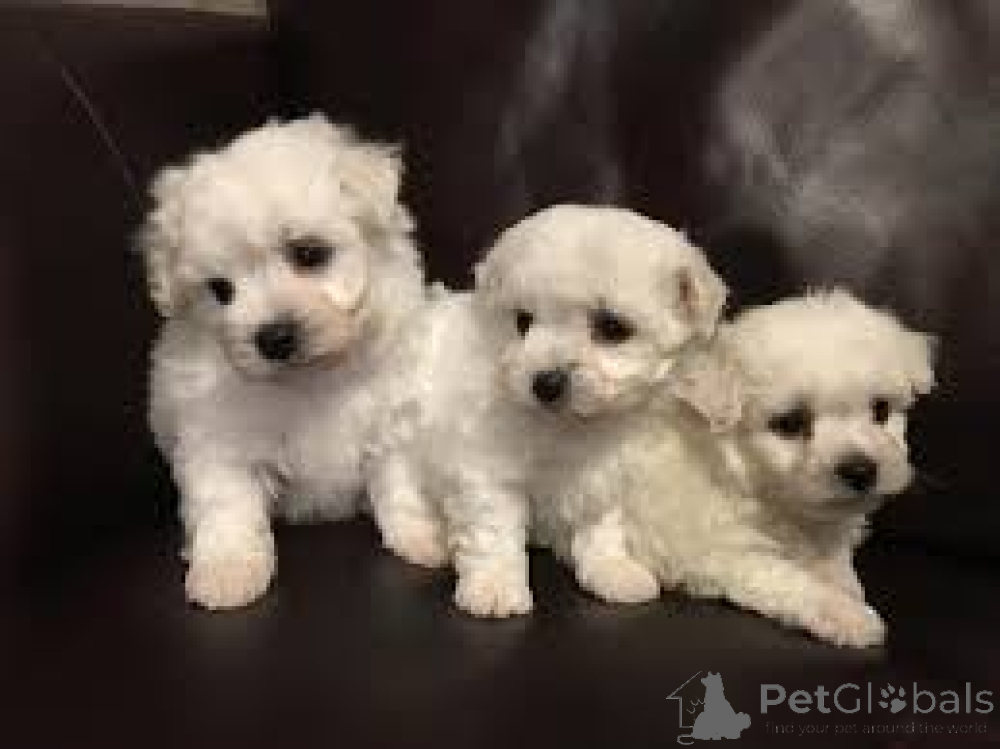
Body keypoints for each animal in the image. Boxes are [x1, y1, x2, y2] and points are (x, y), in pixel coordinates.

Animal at [143, 115, 439, 610]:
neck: (311, 379)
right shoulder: (217, 438)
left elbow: (400, 484)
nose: (274, 338)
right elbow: (227, 503)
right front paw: (227, 571)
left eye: (309, 253)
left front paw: (423, 537)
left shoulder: (392, 420)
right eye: (221, 290)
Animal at [373, 204, 728, 617]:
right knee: (396, 492)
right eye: (522, 321)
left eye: (612, 327)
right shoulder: (488, 469)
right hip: (399, 437)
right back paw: (421, 541)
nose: (545, 383)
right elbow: (492, 531)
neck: (568, 427)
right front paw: (495, 588)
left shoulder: (603, 475)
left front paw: (612, 571)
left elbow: (601, 528)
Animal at [549, 289, 934, 646]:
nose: (861, 470)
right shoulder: (727, 554)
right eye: (790, 423)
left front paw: (847, 589)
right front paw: (846, 614)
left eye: (881, 410)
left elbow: (837, 563)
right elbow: (792, 581)